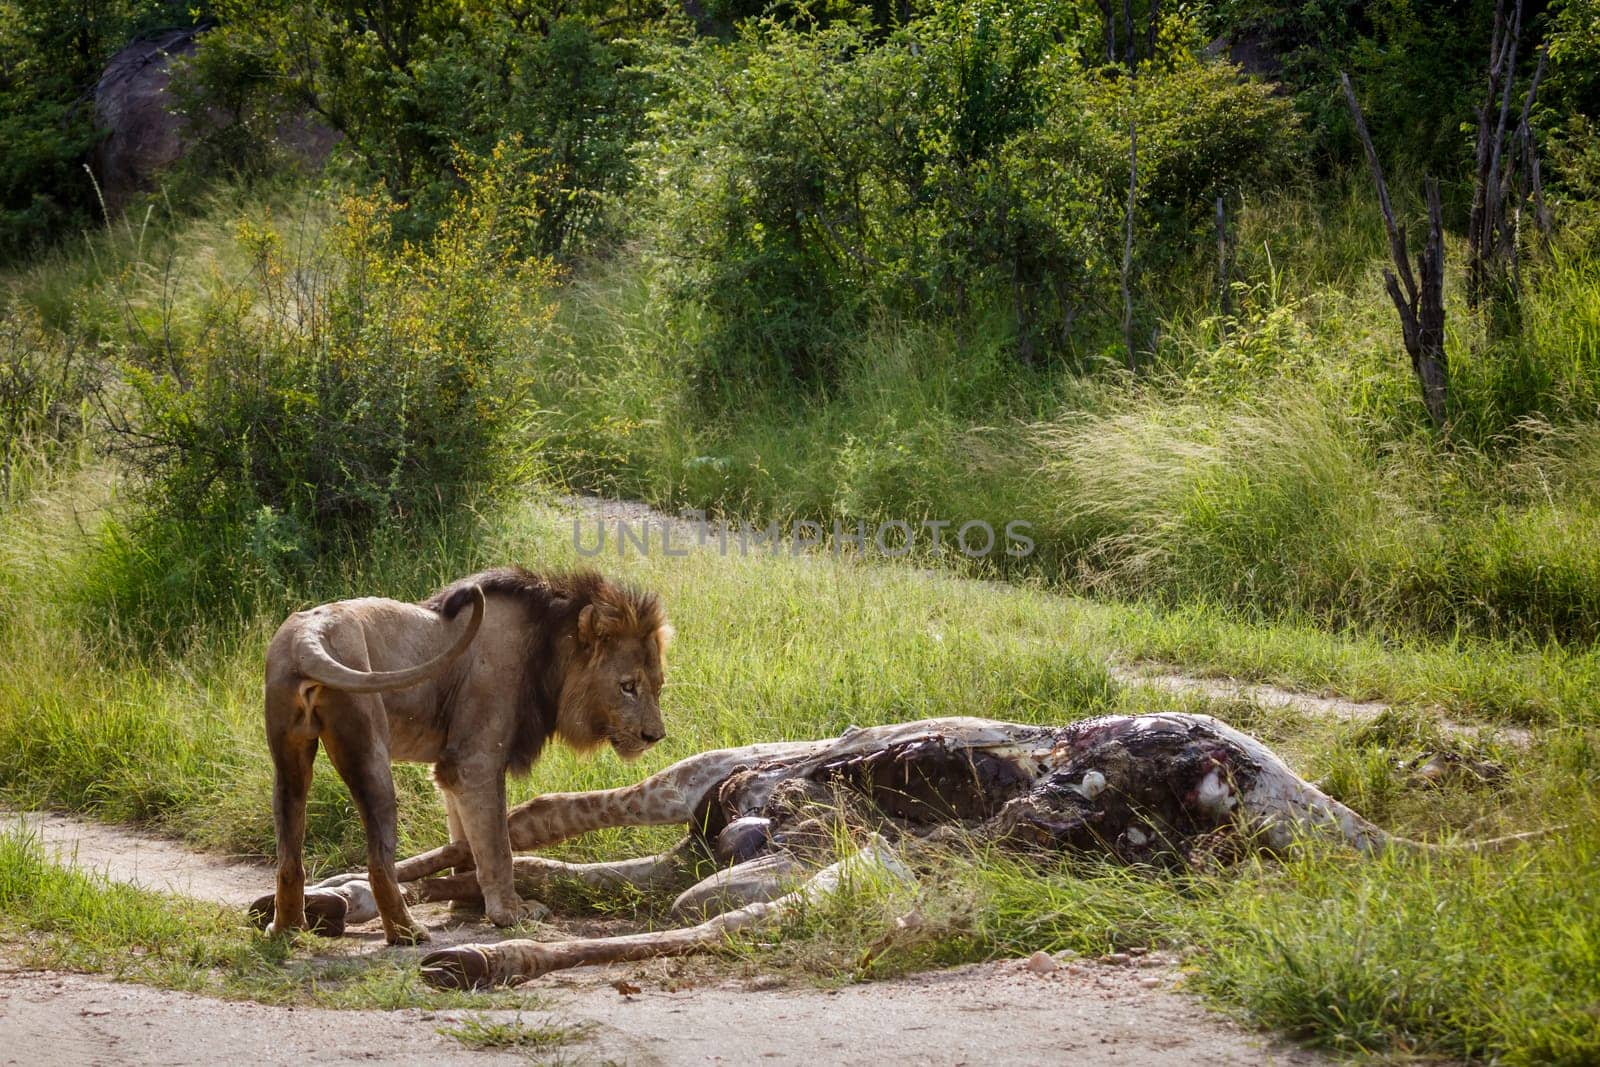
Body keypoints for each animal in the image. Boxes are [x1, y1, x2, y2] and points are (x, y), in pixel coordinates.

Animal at [260, 566, 668, 940]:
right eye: (627, 686)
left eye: (658, 685)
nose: (655, 736)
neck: (548, 652)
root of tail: (306, 639)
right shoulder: (476, 761)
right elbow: (497, 845)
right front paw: (509, 912)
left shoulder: (451, 768)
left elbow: (465, 838)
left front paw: (466, 903)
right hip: (370, 751)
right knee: (378, 862)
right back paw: (407, 933)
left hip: (288, 757)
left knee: (289, 855)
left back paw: (287, 929)